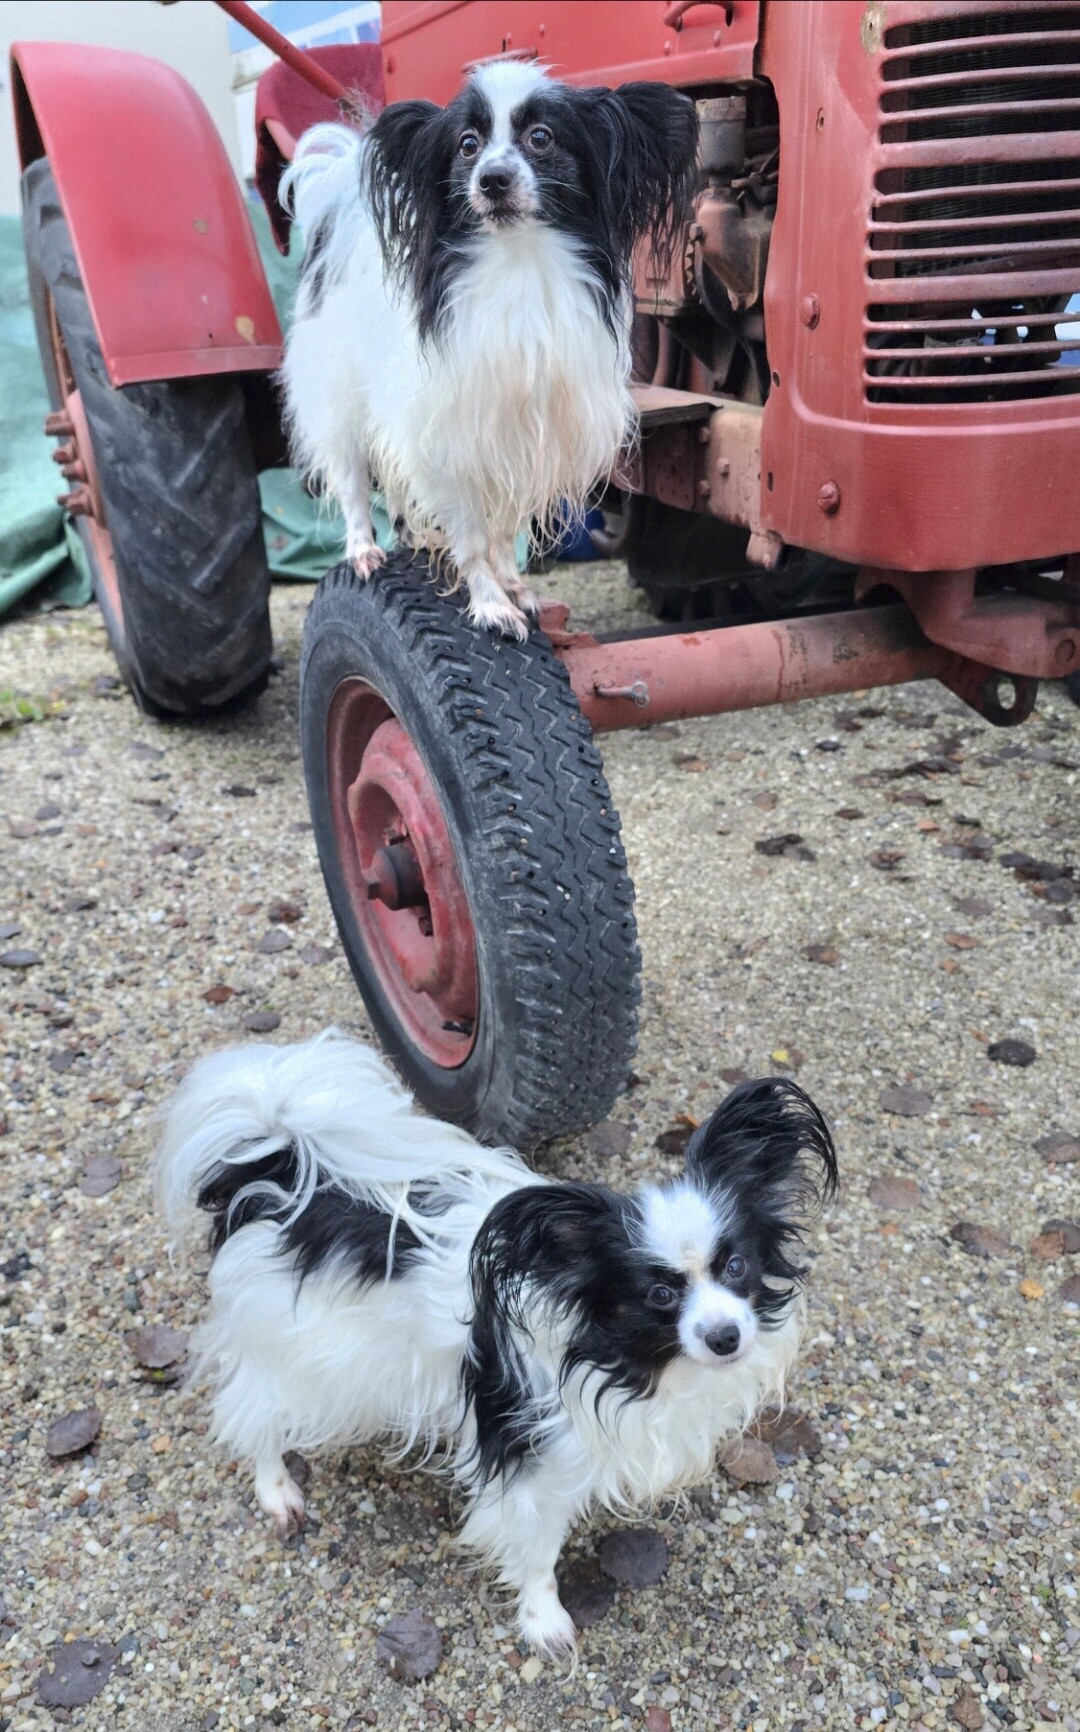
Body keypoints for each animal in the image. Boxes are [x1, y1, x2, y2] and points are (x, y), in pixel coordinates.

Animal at [158, 1033, 836, 1653]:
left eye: (737, 1267)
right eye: (660, 1295)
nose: (726, 1337)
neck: (629, 1358)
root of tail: (276, 1167)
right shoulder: (530, 1464)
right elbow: (536, 1552)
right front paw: (545, 1622)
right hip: (296, 1359)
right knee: (253, 1417)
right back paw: (278, 1493)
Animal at [279, 61, 697, 639]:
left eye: (541, 138)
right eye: (467, 146)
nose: (491, 179)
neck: (518, 266)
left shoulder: (520, 439)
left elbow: (501, 533)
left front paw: (514, 587)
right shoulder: (450, 438)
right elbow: (472, 535)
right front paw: (490, 603)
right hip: (339, 400)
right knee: (351, 480)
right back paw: (363, 550)